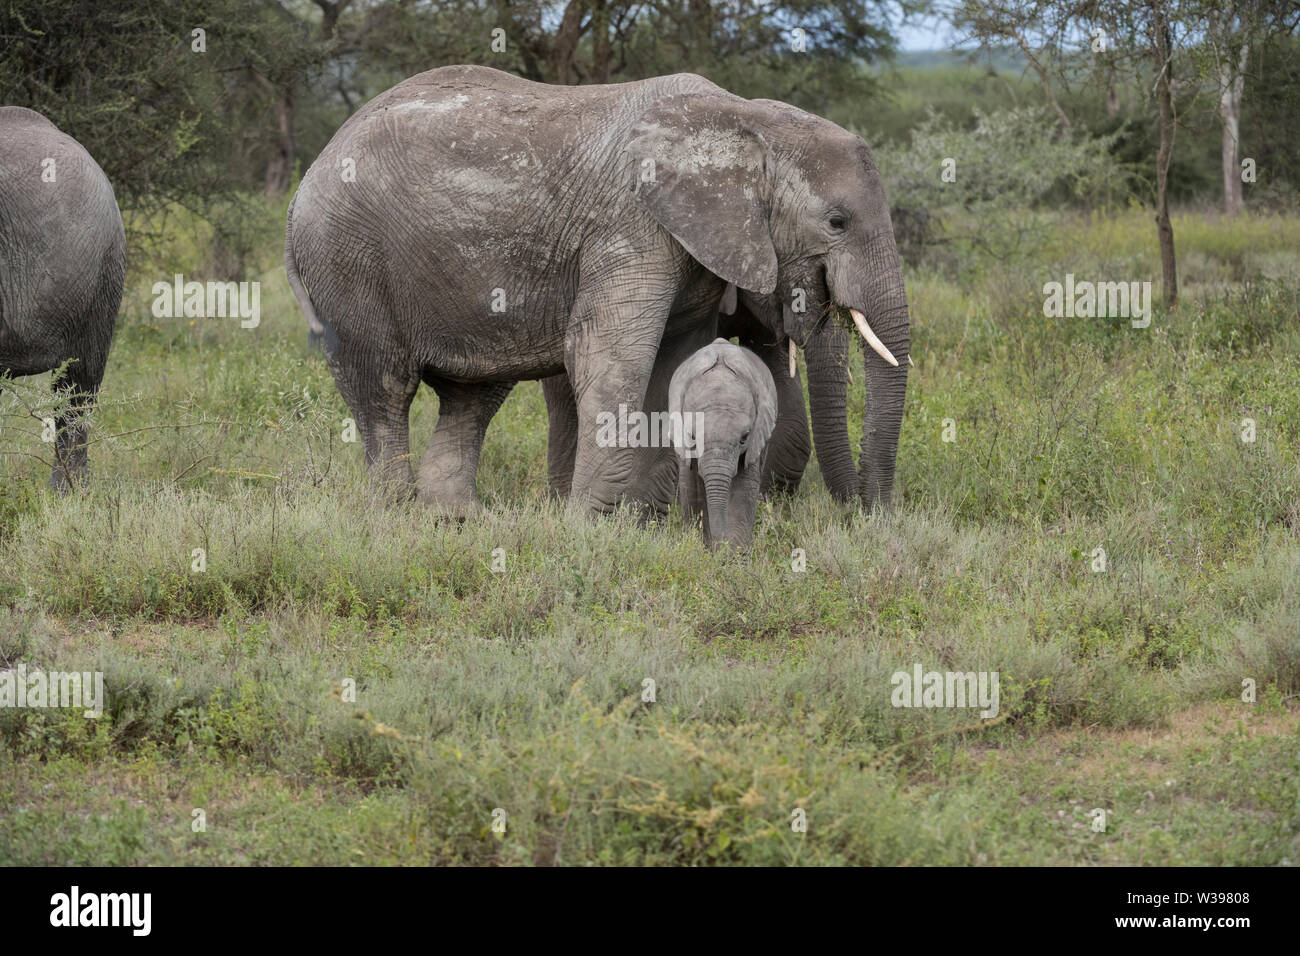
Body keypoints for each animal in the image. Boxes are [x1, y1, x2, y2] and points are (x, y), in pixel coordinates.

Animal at [289, 64, 909, 515]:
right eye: (836, 222)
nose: (869, 515)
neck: (742, 117)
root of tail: (306, 179)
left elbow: (676, 364)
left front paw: (648, 523)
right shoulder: (630, 226)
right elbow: (610, 359)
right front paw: (586, 527)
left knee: (473, 396)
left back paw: (454, 520)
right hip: (345, 262)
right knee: (383, 386)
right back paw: (396, 516)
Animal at [670, 340, 769, 548]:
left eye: (744, 438)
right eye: (691, 436)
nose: (720, 541)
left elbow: (745, 490)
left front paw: (734, 554)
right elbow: (691, 488)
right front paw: (700, 548)